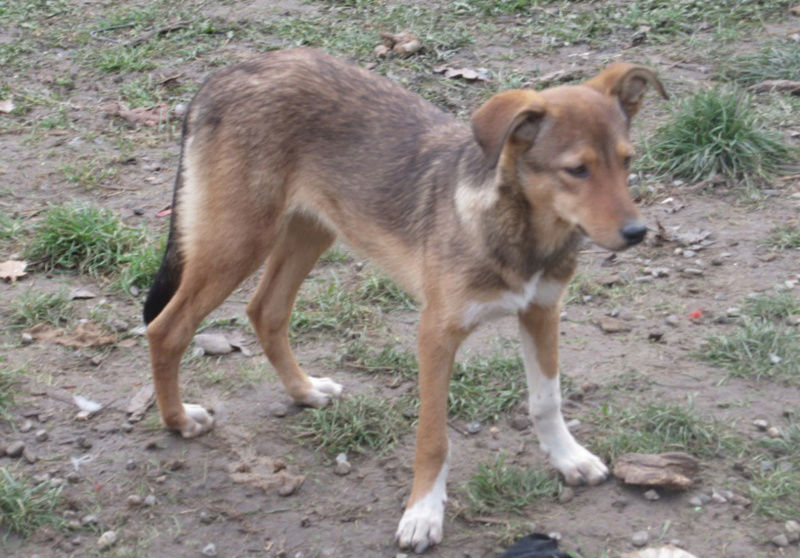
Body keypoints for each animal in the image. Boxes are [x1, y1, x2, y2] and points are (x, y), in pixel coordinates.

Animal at [145, 49, 668, 556]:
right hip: (238, 241)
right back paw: (179, 421)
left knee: (265, 310)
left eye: (626, 161)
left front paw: (568, 458)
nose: (637, 233)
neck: (522, 232)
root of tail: (226, 73)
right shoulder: (436, 333)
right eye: (577, 170)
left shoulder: (541, 311)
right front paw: (423, 514)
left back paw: (304, 390)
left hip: (310, 230)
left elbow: (546, 400)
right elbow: (434, 439)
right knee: (166, 328)